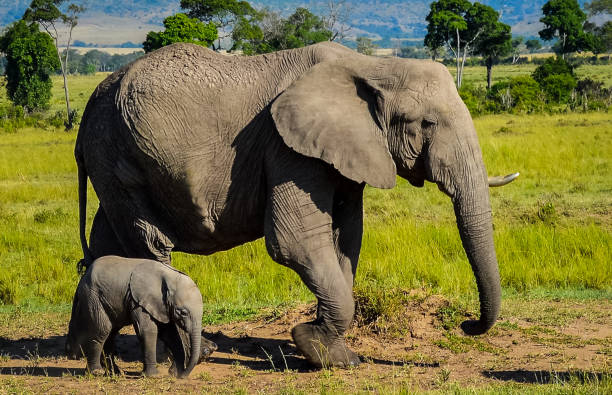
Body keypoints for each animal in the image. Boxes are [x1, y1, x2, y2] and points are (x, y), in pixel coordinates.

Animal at [65, 255, 203, 378]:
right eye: (183, 312)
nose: (183, 376)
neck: (169, 277)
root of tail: (82, 278)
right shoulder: (139, 301)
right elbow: (148, 331)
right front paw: (154, 376)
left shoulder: (161, 305)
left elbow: (170, 334)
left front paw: (174, 373)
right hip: (93, 297)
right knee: (102, 330)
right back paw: (96, 372)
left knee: (111, 333)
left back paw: (115, 373)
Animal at [76, 41, 512, 370]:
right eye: (426, 124)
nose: (467, 324)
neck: (370, 66)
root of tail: (89, 109)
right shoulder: (286, 148)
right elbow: (296, 241)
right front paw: (313, 346)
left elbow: (346, 239)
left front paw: (335, 355)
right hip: (117, 154)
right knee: (149, 243)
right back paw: (195, 354)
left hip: (116, 163)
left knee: (108, 244)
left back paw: (99, 356)